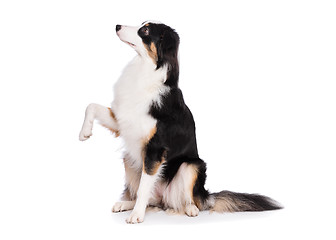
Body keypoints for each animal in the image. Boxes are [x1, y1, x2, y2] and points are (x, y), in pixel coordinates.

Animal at [79, 20, 280, 223]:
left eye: (145, 30)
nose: (117, 26)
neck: (146, 69)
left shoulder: (155, 149)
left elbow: (144, 187)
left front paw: (136, 216)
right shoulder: (123, 122)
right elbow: (91, 106)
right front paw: (84, 133)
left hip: (192, 166)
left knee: (189, 199)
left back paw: (190, 209)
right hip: (129, 159)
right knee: (149, 197)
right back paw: (126, 204)